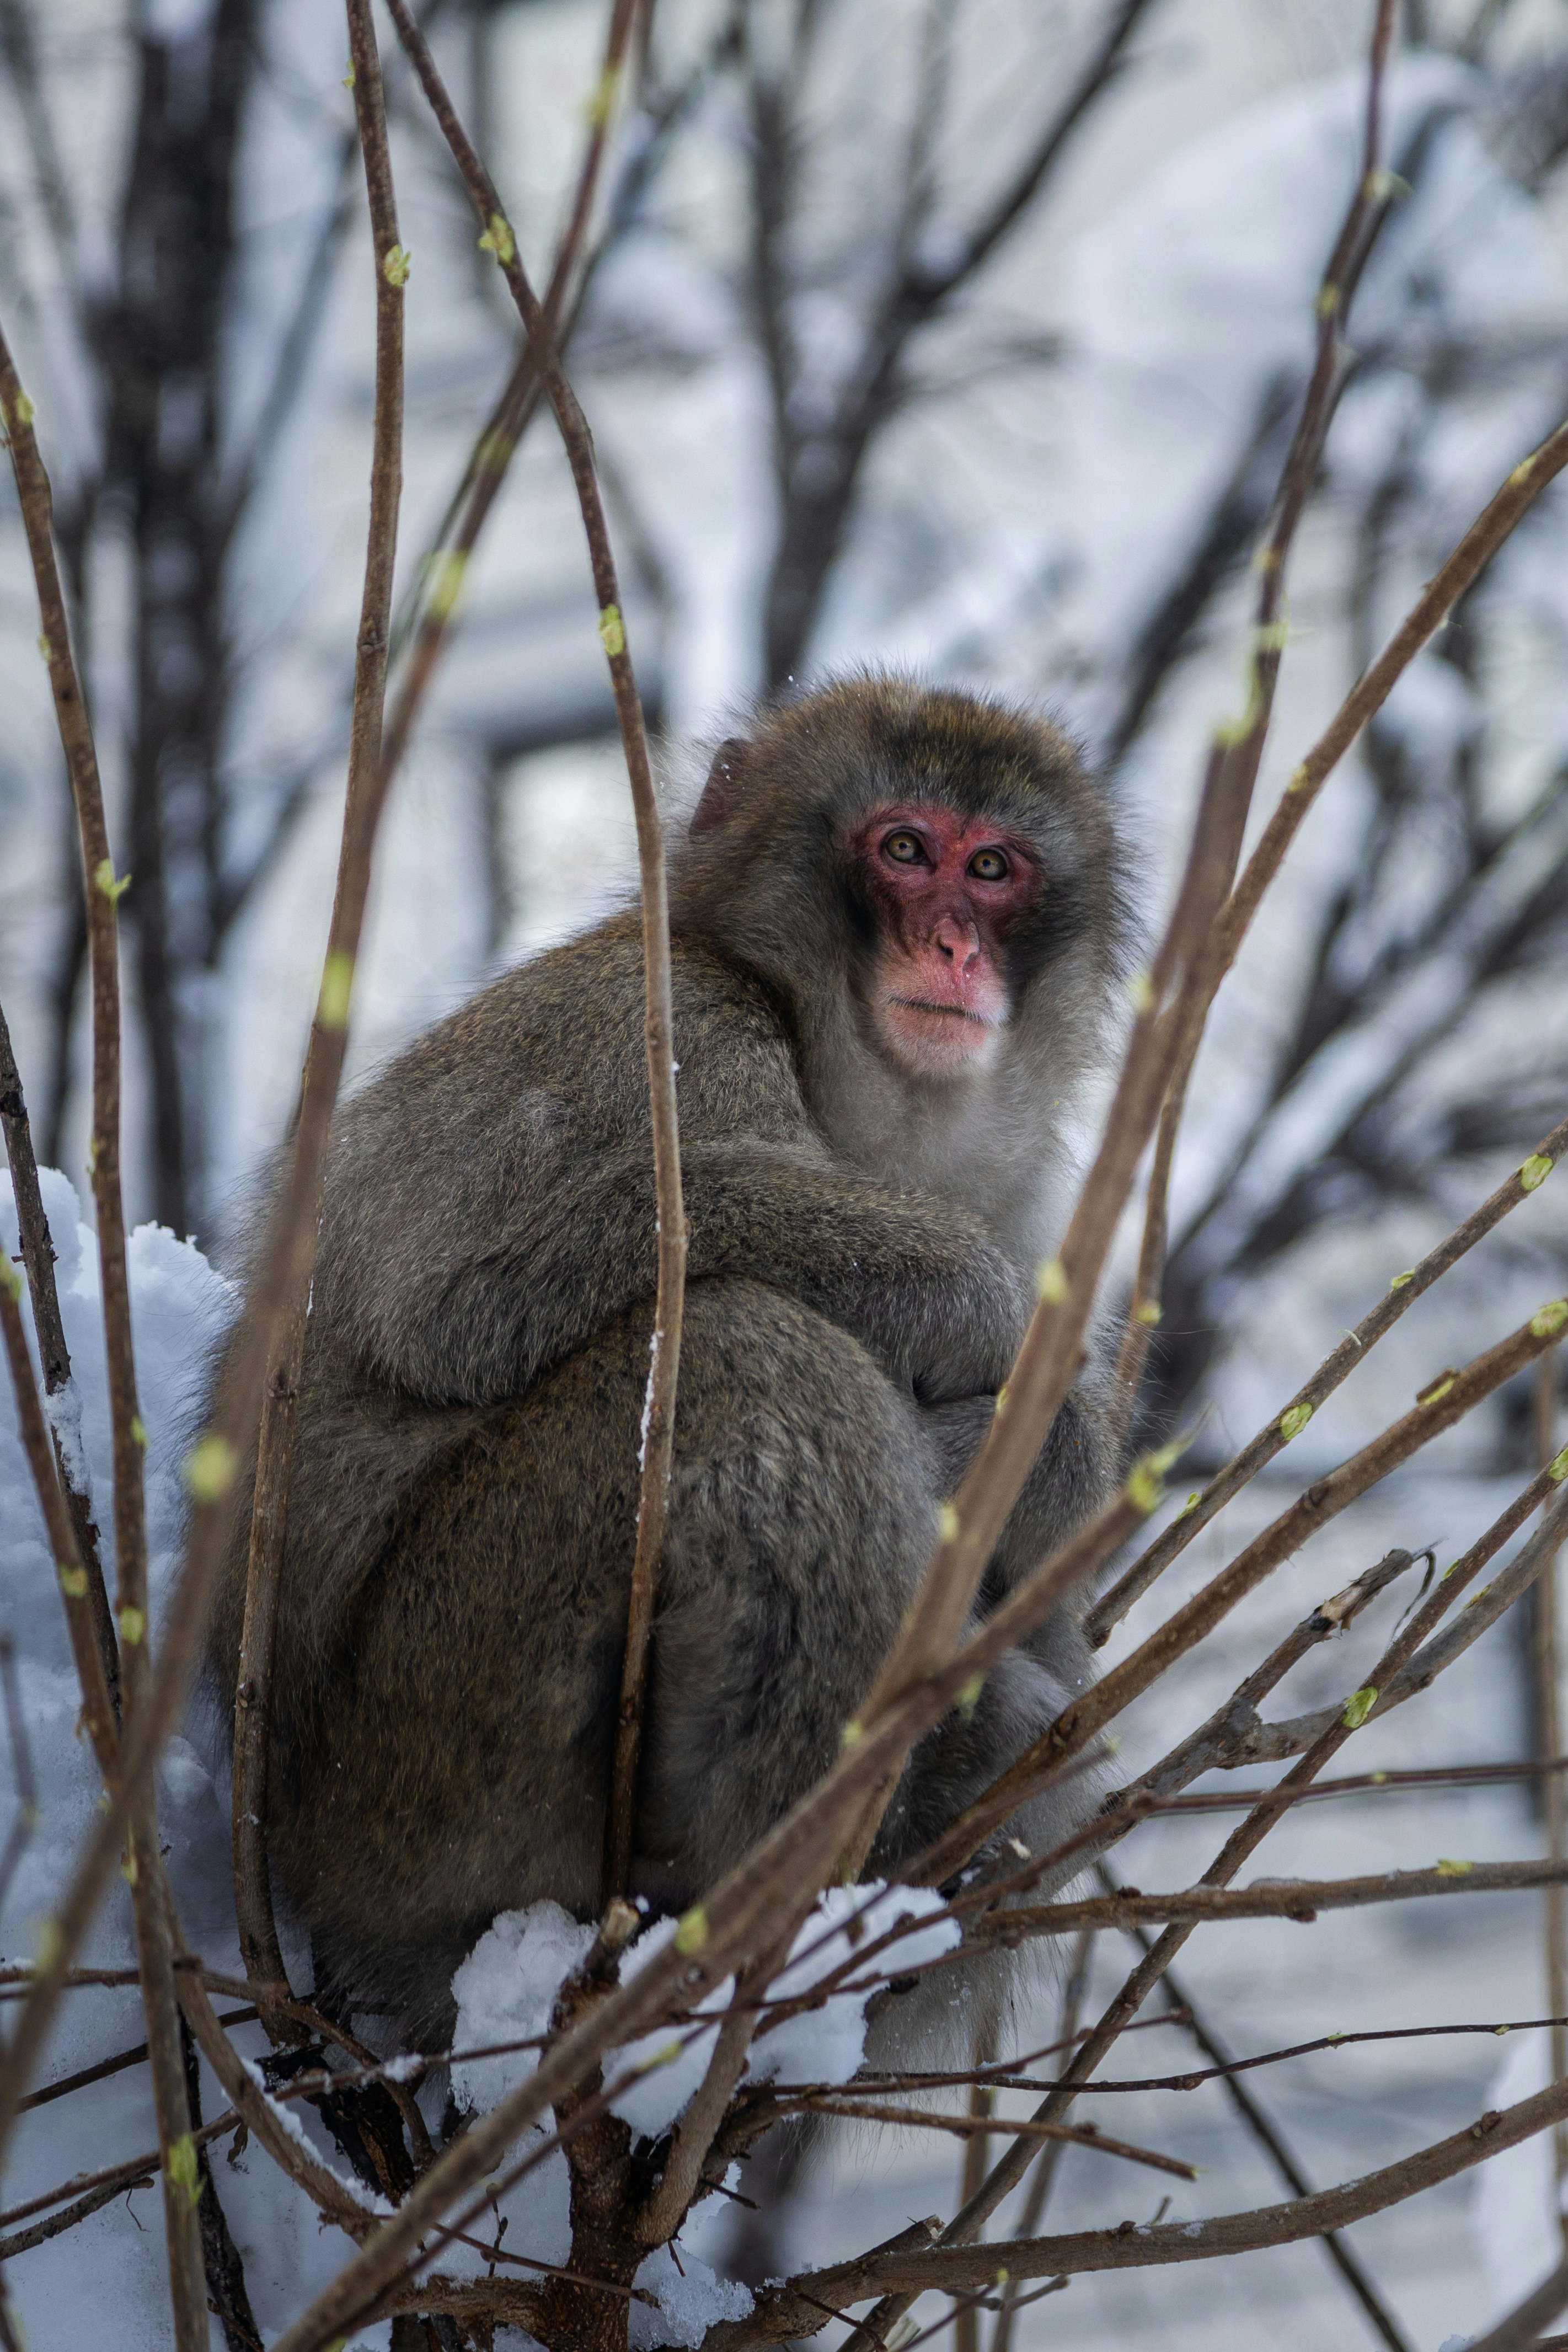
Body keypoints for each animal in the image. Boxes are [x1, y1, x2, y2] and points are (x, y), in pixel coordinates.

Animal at [206, 673, 1128, 2049]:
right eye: (904, 849)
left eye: (993, 867)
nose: (955, 947)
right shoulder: (662, 1022)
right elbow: (456, 1303)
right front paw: (994, 1336)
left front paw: (1044, 1448)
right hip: (422, 1744)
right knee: (754, 1349)